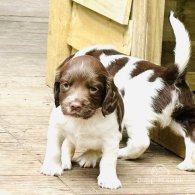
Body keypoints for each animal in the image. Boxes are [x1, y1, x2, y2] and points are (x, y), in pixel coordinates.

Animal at [40, 54, 124, 189]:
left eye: (93, 88)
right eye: (66, 85)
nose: (75, 106)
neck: (82, 120)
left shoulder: (111, 137)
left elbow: (108, 160)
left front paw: (108, 179)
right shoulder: (56, 127)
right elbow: (54, 149)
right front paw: (51, 167)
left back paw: (89, 156)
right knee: (68, 144)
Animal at [72, 12, 195, 171]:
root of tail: (171, 75)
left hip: (134, 112)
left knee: (141, 141)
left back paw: (122, 153)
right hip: (182, 116)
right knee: (192, 139)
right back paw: (187, 165)